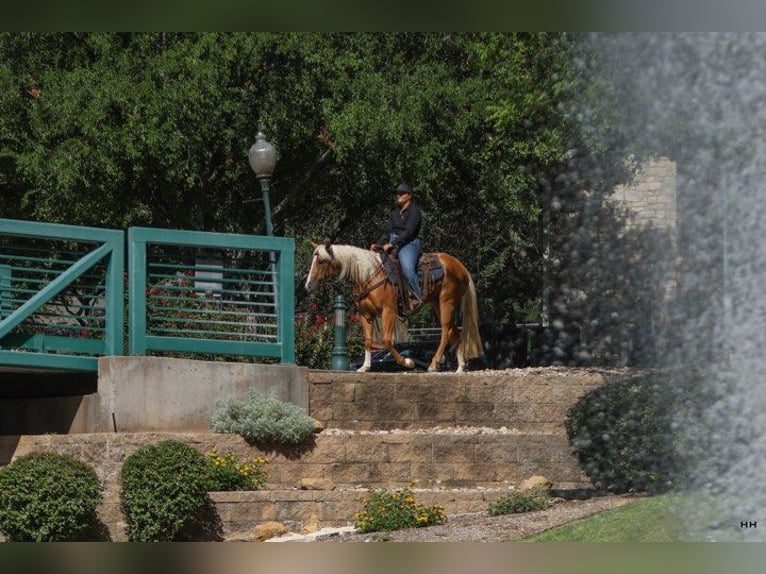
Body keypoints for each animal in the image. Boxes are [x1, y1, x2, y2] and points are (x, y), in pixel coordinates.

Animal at [304, 240, 483, 373]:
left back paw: (433, 364)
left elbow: (387, 340)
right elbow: (368, 340)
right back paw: (460, 368)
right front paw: (364, 367)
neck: (369, 275)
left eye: (321, 261)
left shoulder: (388, 311)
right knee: (453, 331)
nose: (308, 286)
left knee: (445, 332)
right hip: (437, 304)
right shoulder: (365, 314)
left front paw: (408, 362)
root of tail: (460, 266)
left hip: (447, 302)